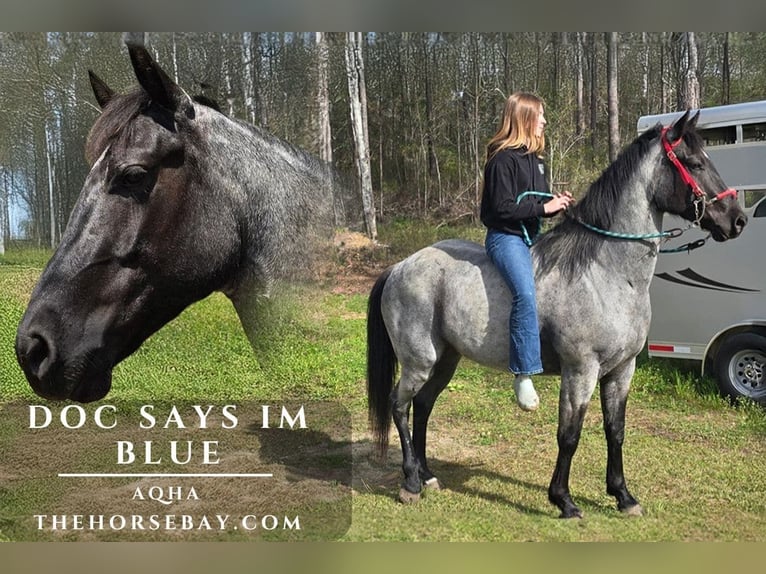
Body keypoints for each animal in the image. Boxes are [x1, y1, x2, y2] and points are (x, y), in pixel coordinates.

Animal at [366, 111, 748, 518]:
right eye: (694, 163)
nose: (737, 219)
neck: (607, 272)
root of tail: (400, 266)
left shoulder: (621, 369)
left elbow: (616, 430)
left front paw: (623, 496)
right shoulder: (580, 370)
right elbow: (569, 434)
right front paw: (563, 499)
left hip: (445, 359)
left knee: (422, 406)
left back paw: (427, 476)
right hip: (419, 360)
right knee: (399, 406)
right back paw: (410, 482)